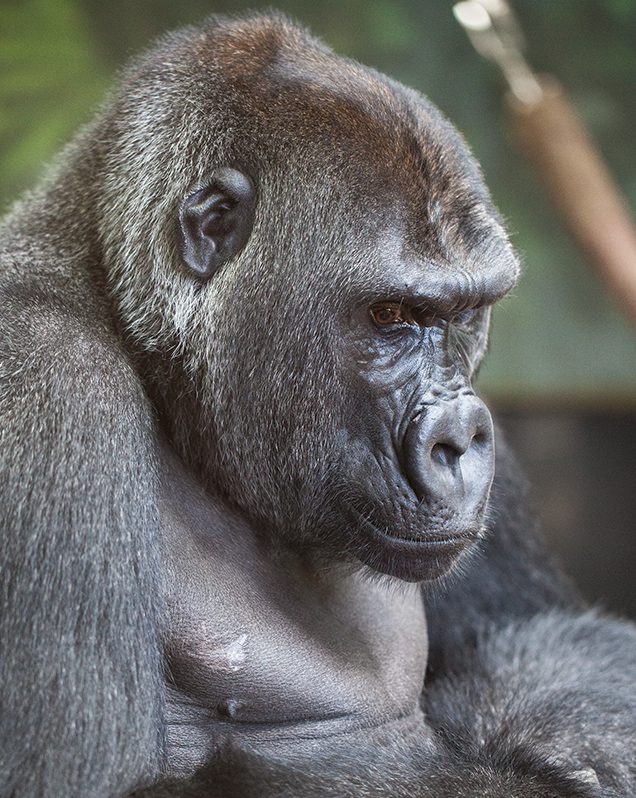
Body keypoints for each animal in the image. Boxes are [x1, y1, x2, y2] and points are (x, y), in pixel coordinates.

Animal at [1, 12, 636, 798]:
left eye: (466, 313)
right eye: (390, 315)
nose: (460, 438)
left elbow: (557, 633)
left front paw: (566, 732)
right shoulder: (44, 380)